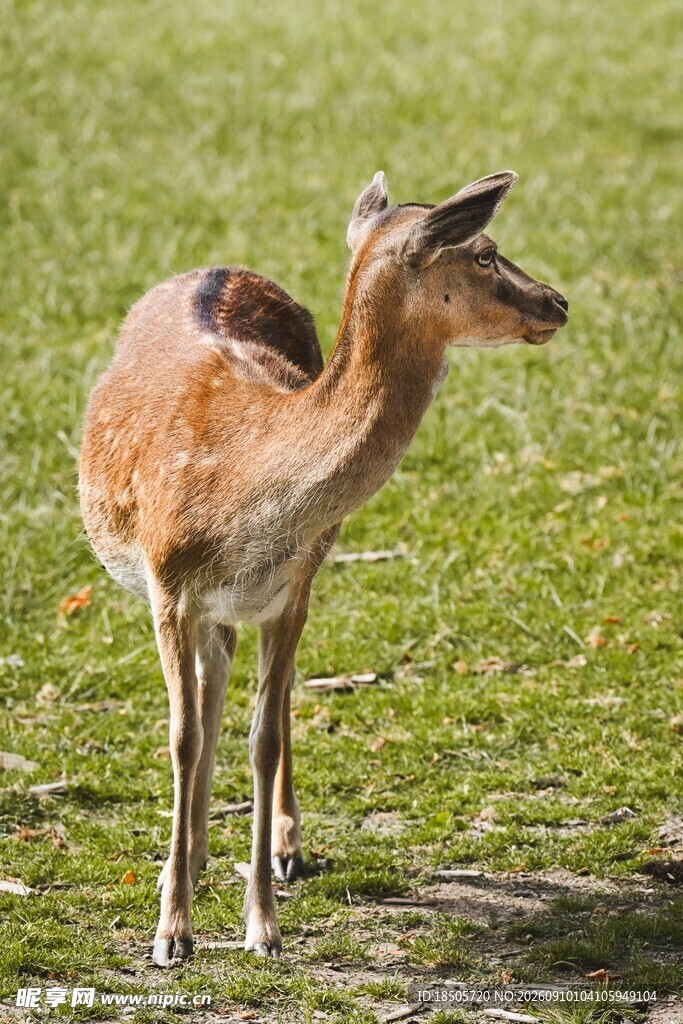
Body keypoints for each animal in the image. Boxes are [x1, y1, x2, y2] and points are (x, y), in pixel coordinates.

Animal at [79, 169, 568, 967]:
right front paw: (171, 932)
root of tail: (223, 266)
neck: (242, 487)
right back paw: (193, 856)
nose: (557, 301)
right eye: (485, 252)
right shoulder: (166, 583)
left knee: (262, 700)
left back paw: (276, 849)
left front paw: (263, 928)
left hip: (292, 582)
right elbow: (183, 738)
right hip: (204, 601)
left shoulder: (290, 590)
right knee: (212, 688)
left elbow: (264, 737)